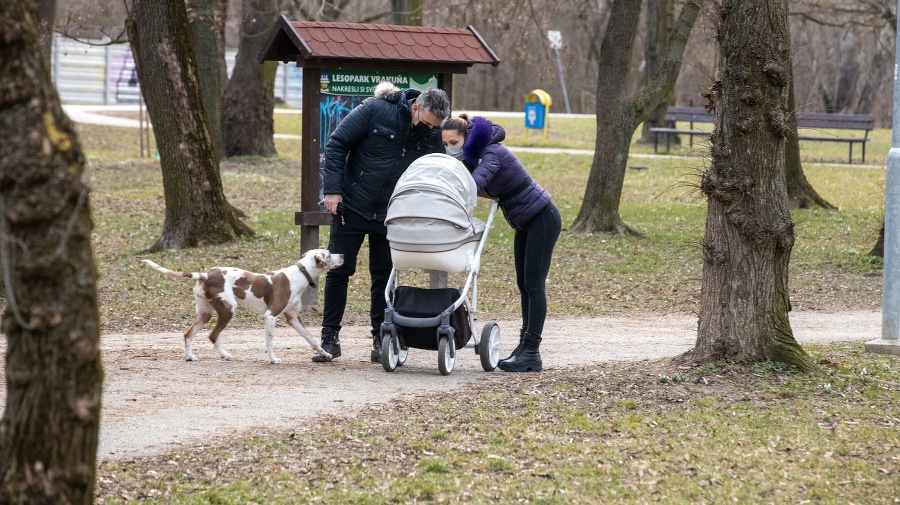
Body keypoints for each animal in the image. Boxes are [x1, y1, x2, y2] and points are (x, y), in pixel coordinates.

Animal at [142, 249, 342, 362]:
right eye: (329, 254)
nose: (343, 254)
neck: (300, 274)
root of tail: (205, 274)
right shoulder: (271, 316)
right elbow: (269, 342)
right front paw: (273, 359)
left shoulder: (293, 318)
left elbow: (312, 339)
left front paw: (326, 355)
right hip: (228, 310)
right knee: (212, 335)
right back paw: (225, 355)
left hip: (205, 314)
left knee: (188, 334)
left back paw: (190, 357)